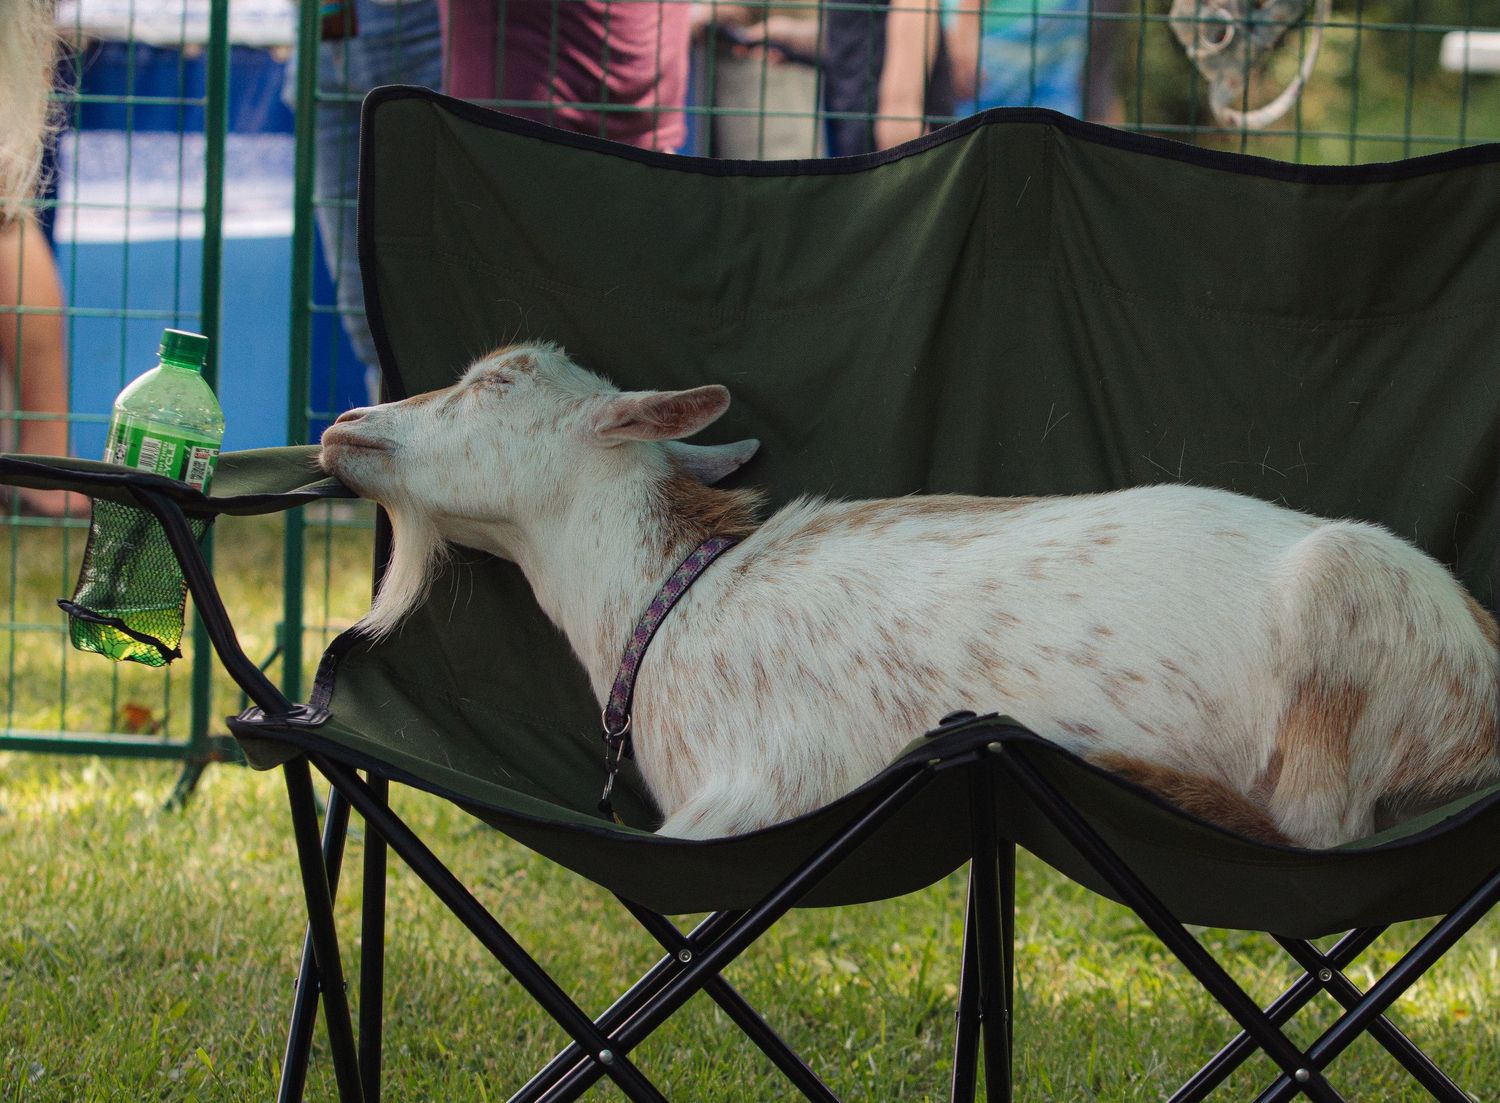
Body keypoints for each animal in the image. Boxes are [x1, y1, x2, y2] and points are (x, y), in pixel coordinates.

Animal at [319, 343, 1500, 845]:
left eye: (493, 382)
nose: (343, 423)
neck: (673, 602)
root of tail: (1484, 664)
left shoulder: (761, 787)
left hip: (1341, 606)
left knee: (1317, 827)